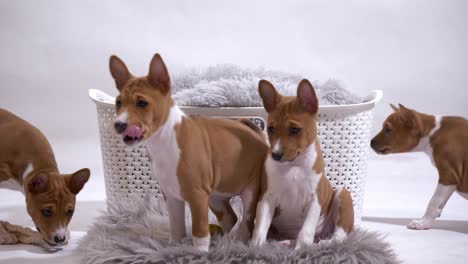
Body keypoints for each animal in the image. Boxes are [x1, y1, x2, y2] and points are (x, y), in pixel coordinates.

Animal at [107, 53, 266, 252]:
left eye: (141, 103)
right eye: (118, 103)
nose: (118, 124)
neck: (163, 142)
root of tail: (251, 128)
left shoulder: (197, 196)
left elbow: (199, 231)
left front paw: (199, 253)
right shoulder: (172, 196)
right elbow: (176, 226)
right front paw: (173, 248)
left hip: (249, 193)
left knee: (247, 221)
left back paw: (237, 242)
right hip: (214, 197)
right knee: (231, 218)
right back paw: (222, 241)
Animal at [250, 78, 352, 250]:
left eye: (294, 129)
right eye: (271, 129)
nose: (275, 155)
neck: (293, 166)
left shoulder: (314, 200)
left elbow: (306, 230)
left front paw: (302, 250)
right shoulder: (267, 198)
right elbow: (261, 226)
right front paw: (256, 247)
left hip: (342, 194)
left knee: (340, 236)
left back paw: (323, 243)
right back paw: (287, 242)